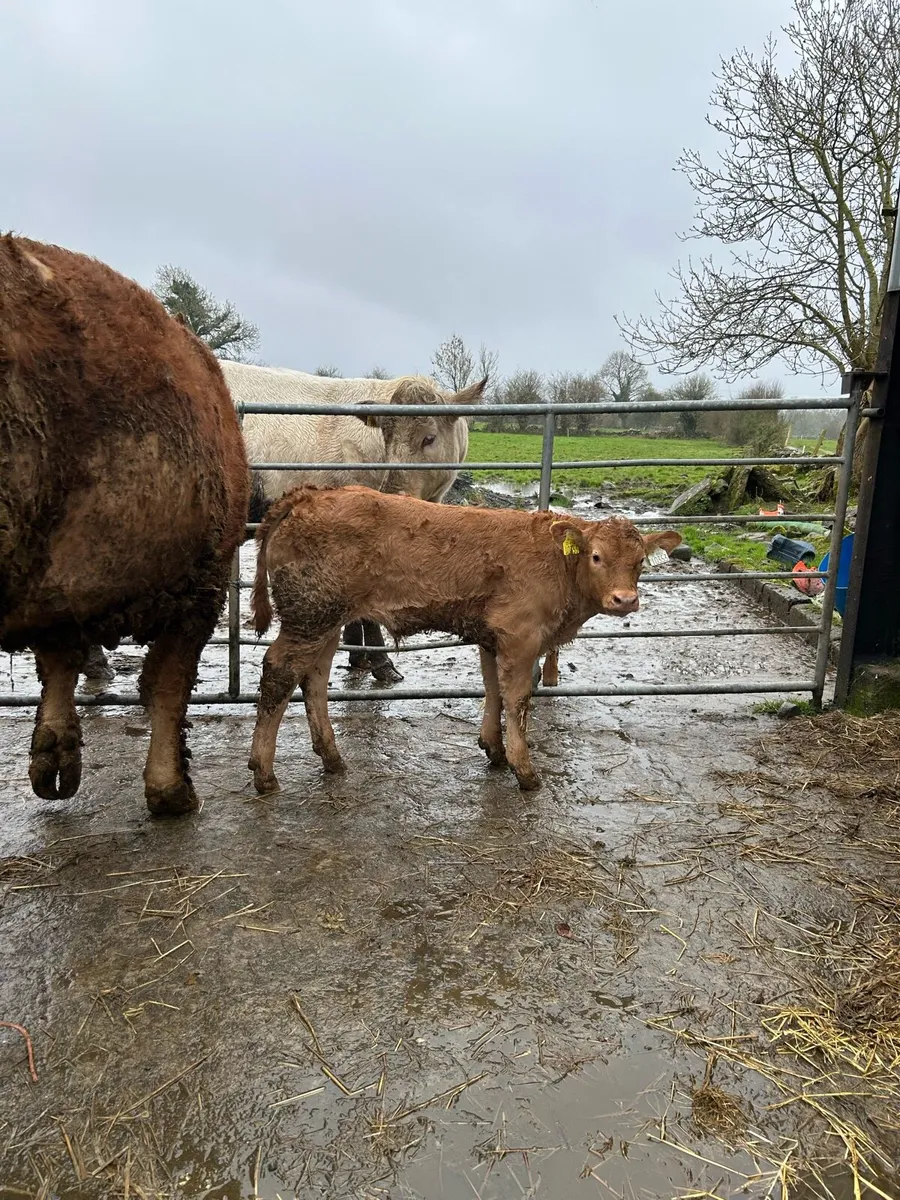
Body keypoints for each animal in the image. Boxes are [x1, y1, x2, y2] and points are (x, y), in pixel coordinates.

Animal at [83, 362, 487, 686]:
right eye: (387, 439)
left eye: (429, 437)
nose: (397, 491)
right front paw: (384, 667)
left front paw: (358, 661)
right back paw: (99, 667)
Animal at [246, 485, 681, 794]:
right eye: (596, 556)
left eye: (639, 562)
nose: (625, 599)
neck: (558, 563)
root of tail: (309, 494)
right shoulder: (520, 635)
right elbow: (518, 698)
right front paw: (525, 770)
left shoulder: (492, 637)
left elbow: (493, 689)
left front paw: (494, 749)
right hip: (309, 616)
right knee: (279, 673)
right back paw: (264, 774)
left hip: (326, 620)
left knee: (314, 678)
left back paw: (332, 758)